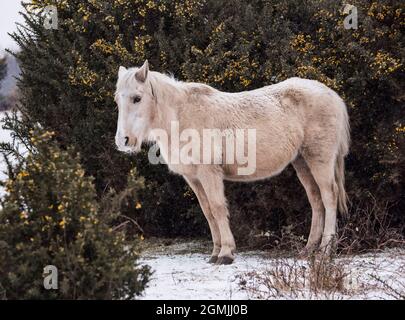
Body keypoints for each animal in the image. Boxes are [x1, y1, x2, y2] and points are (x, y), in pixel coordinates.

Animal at [113, 60, 348, 264]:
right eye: (118, 100)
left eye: (136, 98)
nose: (123, 141)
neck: (182, 117)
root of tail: (332, 95)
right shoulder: (193, 178)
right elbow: (208, 211)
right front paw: (215, 252)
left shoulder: (209, 173)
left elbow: (218, 208)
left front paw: (226, 253)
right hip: (302, 162)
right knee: (316, 200)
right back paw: (308, 249)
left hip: (319, 159)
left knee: (329, 197)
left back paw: (325, 251)